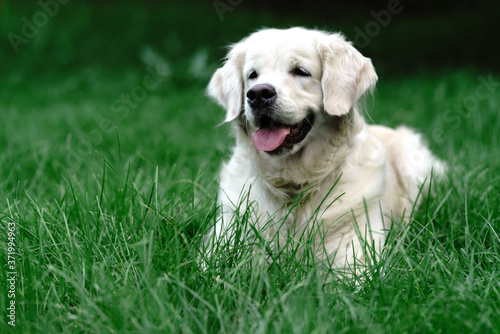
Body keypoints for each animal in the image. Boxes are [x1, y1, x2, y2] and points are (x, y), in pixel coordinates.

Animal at [202, 26, 442, 268]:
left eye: (300, 71)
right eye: (252, 75)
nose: (258, 94)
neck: (295, 183)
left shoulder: (357, 243)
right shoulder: (226, 235)